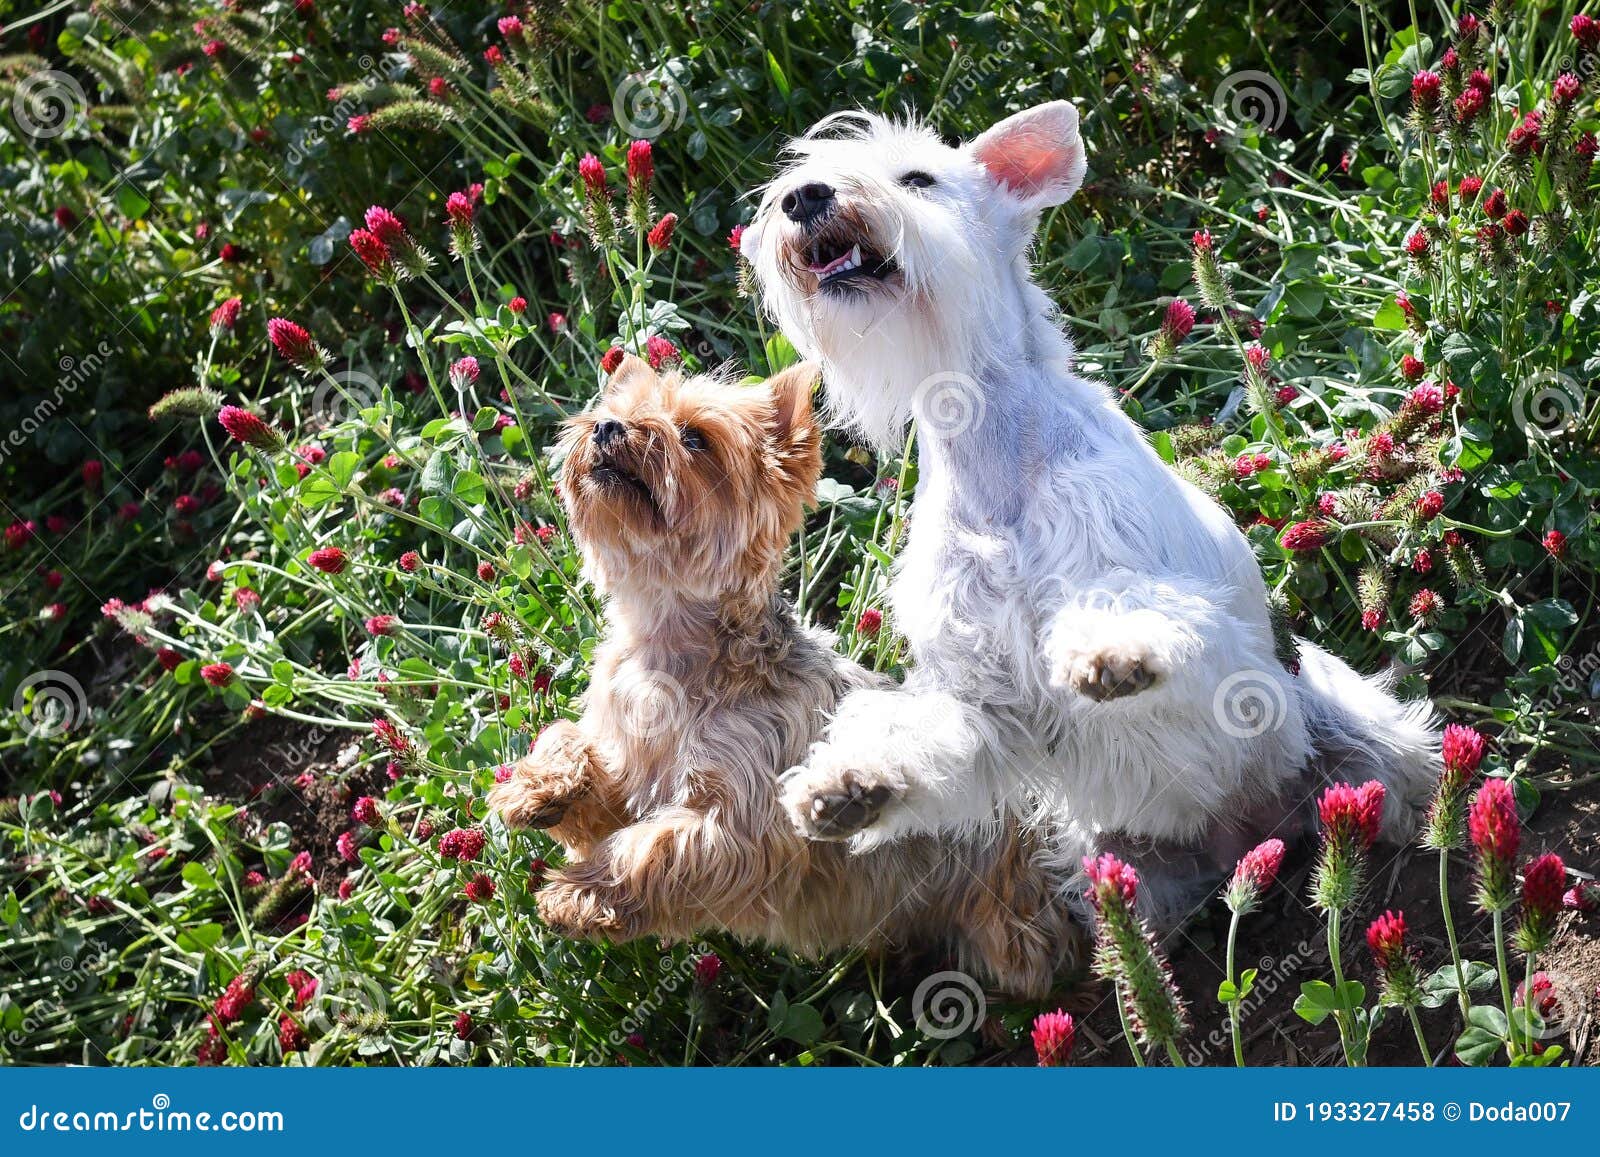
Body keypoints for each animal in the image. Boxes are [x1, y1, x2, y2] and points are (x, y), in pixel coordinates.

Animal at [492, 355, 1081, 998]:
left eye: (694, 438)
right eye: (613, 410)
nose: (605, 427)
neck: (671, 648)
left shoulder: (746, 823)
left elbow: (652, 846)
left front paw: (576, 895)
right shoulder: (626, 766)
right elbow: (570, 744)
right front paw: (535, 787)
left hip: (1006, 910)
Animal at [742, 104, 1446, 921]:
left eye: (918, 178)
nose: (804, 197)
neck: (993, 446)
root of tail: (1249, 828)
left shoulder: (1152, 592)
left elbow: (1126, 609)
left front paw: (1111, 652)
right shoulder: (981, 696)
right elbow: (929, 730)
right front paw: (848, 783)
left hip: (1346, 719)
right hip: (1117, 861)